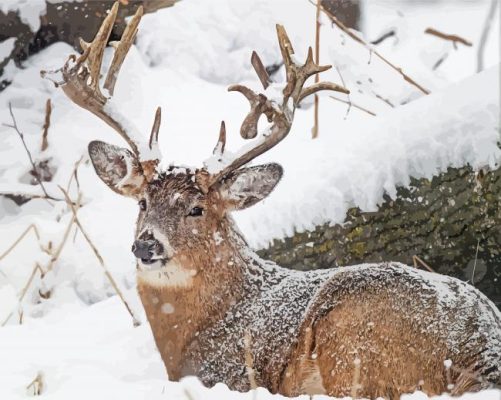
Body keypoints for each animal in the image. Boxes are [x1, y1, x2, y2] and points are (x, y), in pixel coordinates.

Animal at [44, 2, 500, 396]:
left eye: (196, 209)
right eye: (142, 204)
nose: (146, 244)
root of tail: (480, 347)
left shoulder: (233, 373)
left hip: (356, 340)